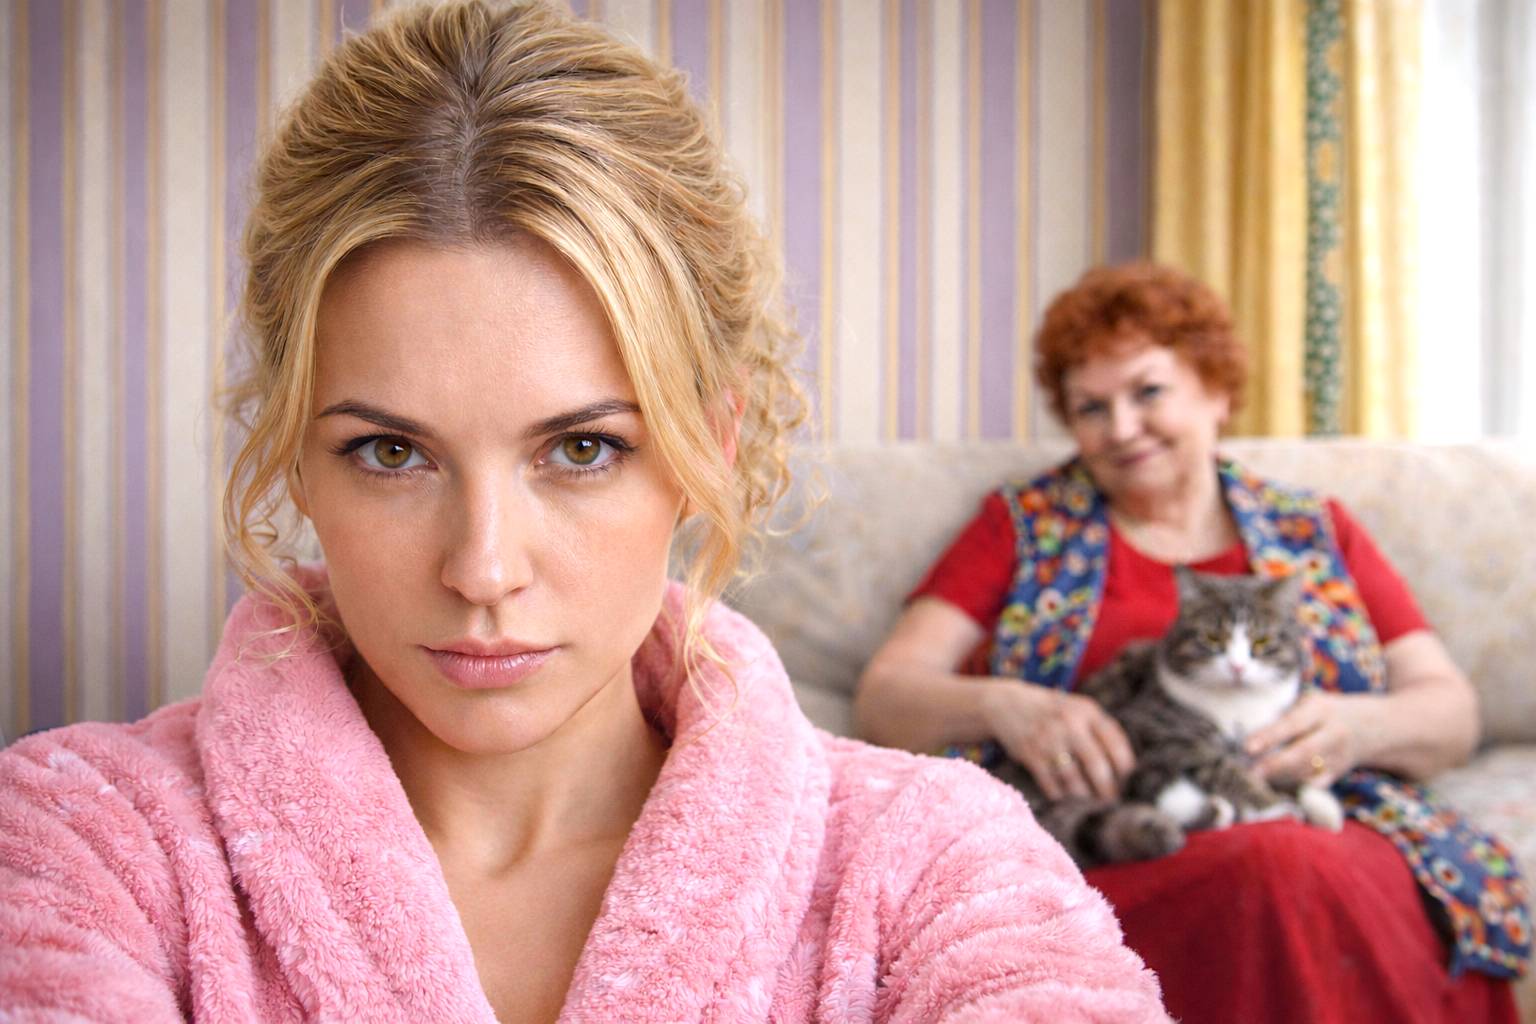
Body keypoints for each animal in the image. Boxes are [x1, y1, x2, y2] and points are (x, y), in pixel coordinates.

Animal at [994, 567, 1345, 868]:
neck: (1237, 707)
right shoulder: (1157, 730)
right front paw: (1269, 803)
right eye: (1212, 638)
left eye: (1262, 642)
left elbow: (1275, 772)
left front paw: (1319, 802)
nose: (1237, 667)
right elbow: (1224, 768)